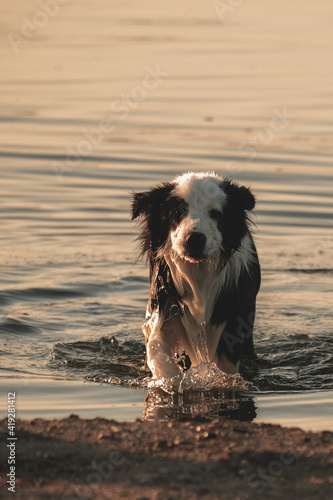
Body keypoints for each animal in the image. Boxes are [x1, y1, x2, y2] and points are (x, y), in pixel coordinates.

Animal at [131, 173, 260, 378]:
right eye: (178, 212)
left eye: (216, 214)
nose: (195, 239)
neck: (198, 273)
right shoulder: (167, 305)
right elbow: (155, 345)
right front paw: (170, 378)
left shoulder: (234, 315)